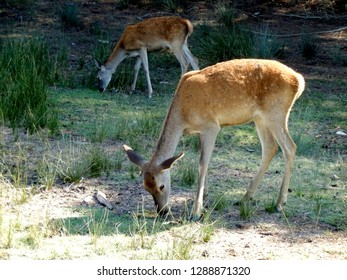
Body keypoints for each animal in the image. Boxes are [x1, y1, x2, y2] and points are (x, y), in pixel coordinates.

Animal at [123, 59, 306, 221]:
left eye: (161, 186)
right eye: (145, 187)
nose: (162, 212)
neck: (183, 114)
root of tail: (299, 80)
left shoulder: (211, 125)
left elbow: (202, 164)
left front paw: (196, 212)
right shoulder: (200, 131)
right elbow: (206, 162)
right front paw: (205, 198)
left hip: (276, 113)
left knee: (290, 148)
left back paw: (279, 203)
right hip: (260, 119)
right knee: (270, 148)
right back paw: (246, 197)